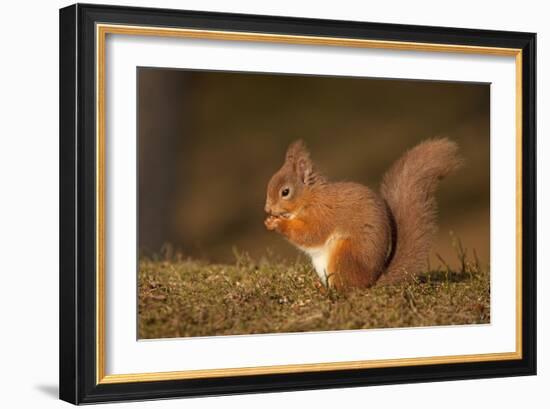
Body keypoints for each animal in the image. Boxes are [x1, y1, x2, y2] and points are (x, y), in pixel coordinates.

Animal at [266, 139, 464, 288]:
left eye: (285, 192)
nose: (267, 209)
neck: (310, 197)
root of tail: (371, 282)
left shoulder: (323, 214)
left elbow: (310, 234)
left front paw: (277, 223)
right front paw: (269, 220)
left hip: (344, 254)